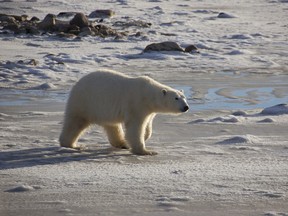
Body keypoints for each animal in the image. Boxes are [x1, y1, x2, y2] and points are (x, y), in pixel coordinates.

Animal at [59, 69, 189, 155]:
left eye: (184, 97)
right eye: (176, 98)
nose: (186, 107)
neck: (148, 94)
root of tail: (76, 84)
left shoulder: (149, 111)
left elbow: (147, 126)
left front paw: (141, 138)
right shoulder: (137, 104)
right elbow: (135, 127)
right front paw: (146, 151)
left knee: (112, 126)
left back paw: (122, 143)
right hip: (85, 102)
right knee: (75, 123)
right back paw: (72, 145)